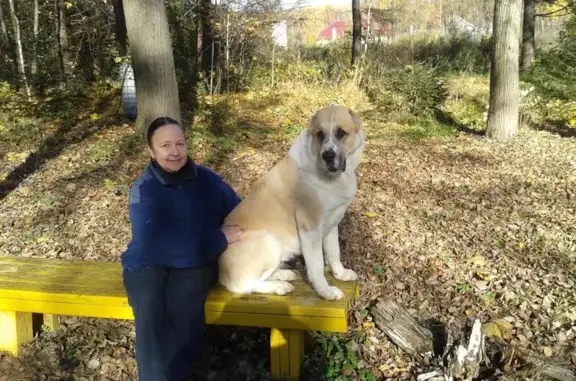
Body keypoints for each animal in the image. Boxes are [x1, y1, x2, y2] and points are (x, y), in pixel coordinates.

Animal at [218, 104, 366, 300]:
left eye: (341, 132)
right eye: (319, 134)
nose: (327, 155)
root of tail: (219, 272)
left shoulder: (332, 223)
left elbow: (334, 252)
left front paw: (340, 274)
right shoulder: (310, 227)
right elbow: (317, 265)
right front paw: (326, 291)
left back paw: (284, 274)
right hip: (269, 240)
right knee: (244, 286)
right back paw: (279, 286)